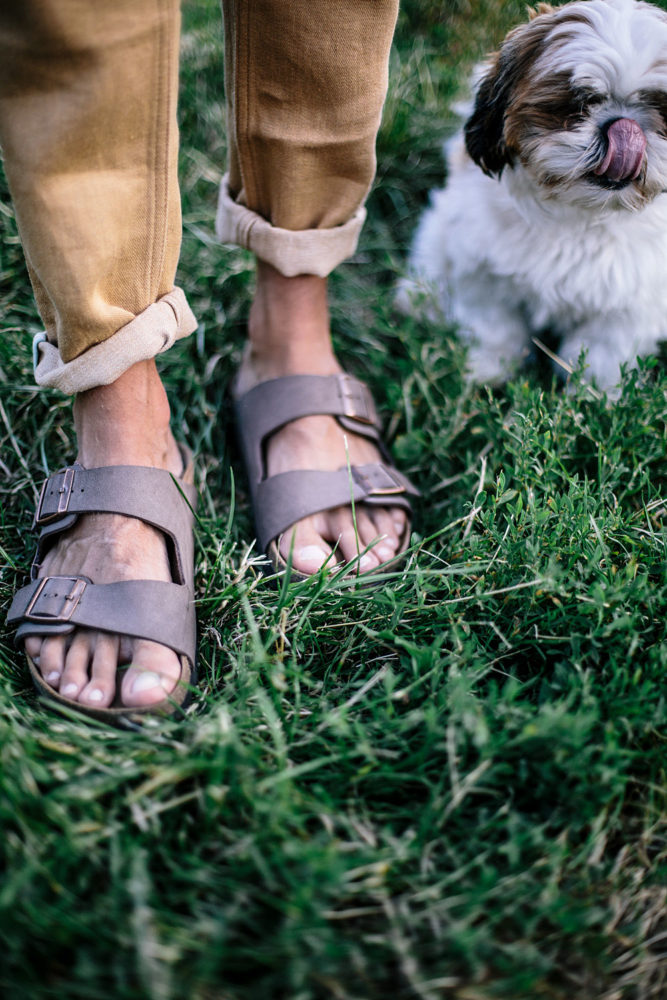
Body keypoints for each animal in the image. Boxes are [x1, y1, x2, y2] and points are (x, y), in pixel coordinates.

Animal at [396, 0, 667, 390]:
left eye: (660, 111)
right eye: (578, 105)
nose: (623, 128)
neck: (577, 214)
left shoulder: (632, 302)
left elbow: (603, 350)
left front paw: (591, 391)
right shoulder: (483, 272)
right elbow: (495, 326)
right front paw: (490, 368)